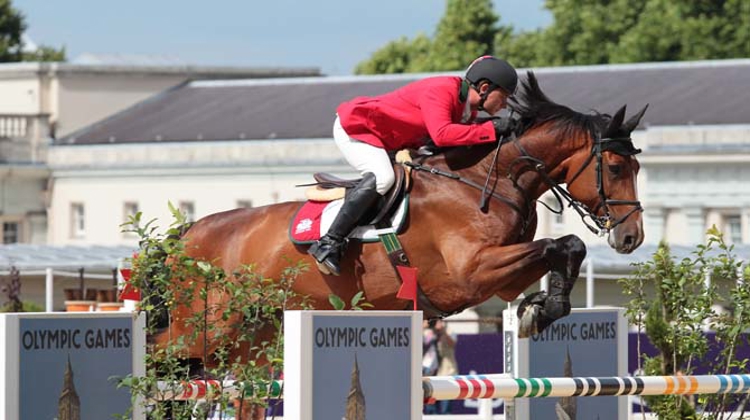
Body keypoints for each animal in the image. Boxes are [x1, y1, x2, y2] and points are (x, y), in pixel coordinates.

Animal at [151, 71, 648, 416]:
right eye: (616, 167)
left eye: (636, 167)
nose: (631, 237)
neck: (488, 180)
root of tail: (189, 233)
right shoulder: (471, 273)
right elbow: (560, 244)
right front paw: (540, 308)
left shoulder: (498, 278)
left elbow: (566, 247)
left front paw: (539, 309)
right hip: (205, 326)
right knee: (161, 363)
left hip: (250, 334)